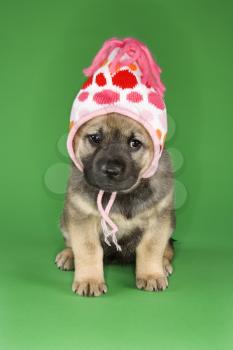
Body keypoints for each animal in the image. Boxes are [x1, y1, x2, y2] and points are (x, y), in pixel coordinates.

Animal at [54, 37, 175, 296]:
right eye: (95, 138)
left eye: (134, 143)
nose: (111, 170)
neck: (118, 195)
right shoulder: (81, 217)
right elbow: (88, 249)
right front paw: (89, 280)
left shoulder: (158, 218)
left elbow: (151, 248)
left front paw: (151, 274)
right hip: (66, 219)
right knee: (71, 241)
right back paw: (69, 256)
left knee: (168, 248)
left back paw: (164, 263)